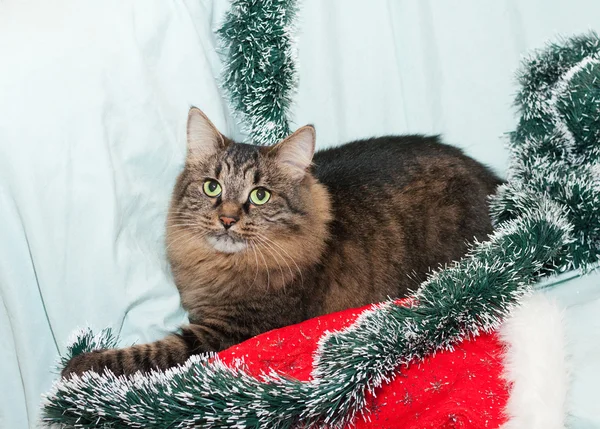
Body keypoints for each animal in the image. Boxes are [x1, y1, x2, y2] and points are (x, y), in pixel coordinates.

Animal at [62, 106, 502, 374]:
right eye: (211, 187)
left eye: (260, 195)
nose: (227, 219)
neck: (224, 265)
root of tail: (493, 181)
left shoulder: (231, 331)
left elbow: (152, 352)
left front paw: (80, 366)